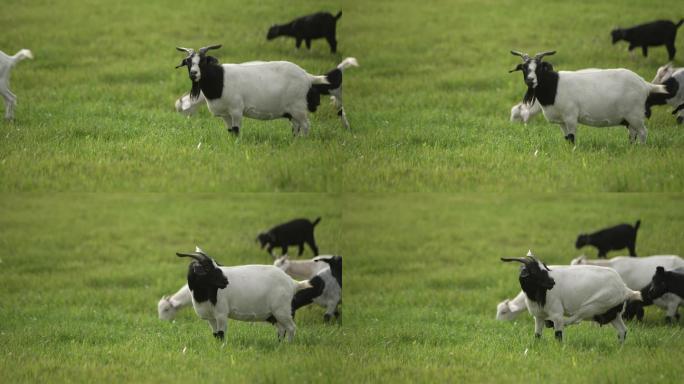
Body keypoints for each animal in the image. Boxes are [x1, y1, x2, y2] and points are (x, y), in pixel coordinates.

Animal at [175, 249, 312, 342]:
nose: (225, 281)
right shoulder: (211, 318)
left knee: (291, 328)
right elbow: (216, 335)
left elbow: (221, 334)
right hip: (274, 314)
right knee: (282, 329)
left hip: (282, 310)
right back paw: (279, 345)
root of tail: (293, 283)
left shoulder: (221, 314)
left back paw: (287, 345)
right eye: (207, 267)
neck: (203, 296)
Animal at [176, 44, 332, 136]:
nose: (193, 74)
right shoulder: (225, 114)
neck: (220, 80)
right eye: (188, 62)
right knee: (296, 127)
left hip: (299, 107)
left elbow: (236, 131)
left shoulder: (236, 110)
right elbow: (230, 131)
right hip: (292, 111)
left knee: (305, 126)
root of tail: (307, 76)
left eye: (202, 61)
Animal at [502, 250, 640, 344]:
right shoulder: (538, 316)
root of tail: (624, 288)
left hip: (594, 305)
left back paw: (551, 323)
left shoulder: (556, 313)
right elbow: (537, 335)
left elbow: (558, 334)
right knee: (622, 330)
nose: (552, 282)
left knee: (575, 318)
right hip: (612, 312)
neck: (538, 295)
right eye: (535, 271)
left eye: (545, 267)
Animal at [510, 50, 672, 145]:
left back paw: (641, 149)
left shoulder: (571, 116)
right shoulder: (562, 121)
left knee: (643, 132)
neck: (554, 86)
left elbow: (572, 137)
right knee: (633, 134)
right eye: (524, 68)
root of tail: (644, 84)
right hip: (630, 117)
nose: (530, 80)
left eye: (539, 68)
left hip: (635, 114)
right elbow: (567, 138)